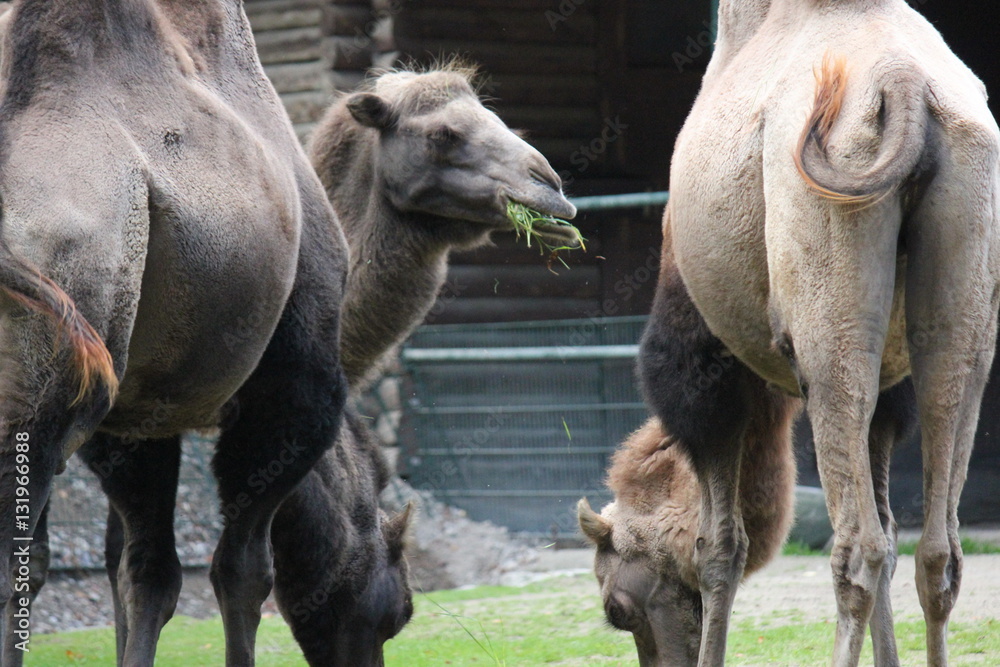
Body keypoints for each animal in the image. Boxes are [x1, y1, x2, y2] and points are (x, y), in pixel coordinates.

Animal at [583, 1, 1000, 665]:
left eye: (617, 608)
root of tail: (905, 86)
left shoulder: (706, 355)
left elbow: (720, 547)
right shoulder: (892, 391)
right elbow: (890, 523)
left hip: (830, 306)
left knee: (857, 552)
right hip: (963, 289)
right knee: (936, 550)